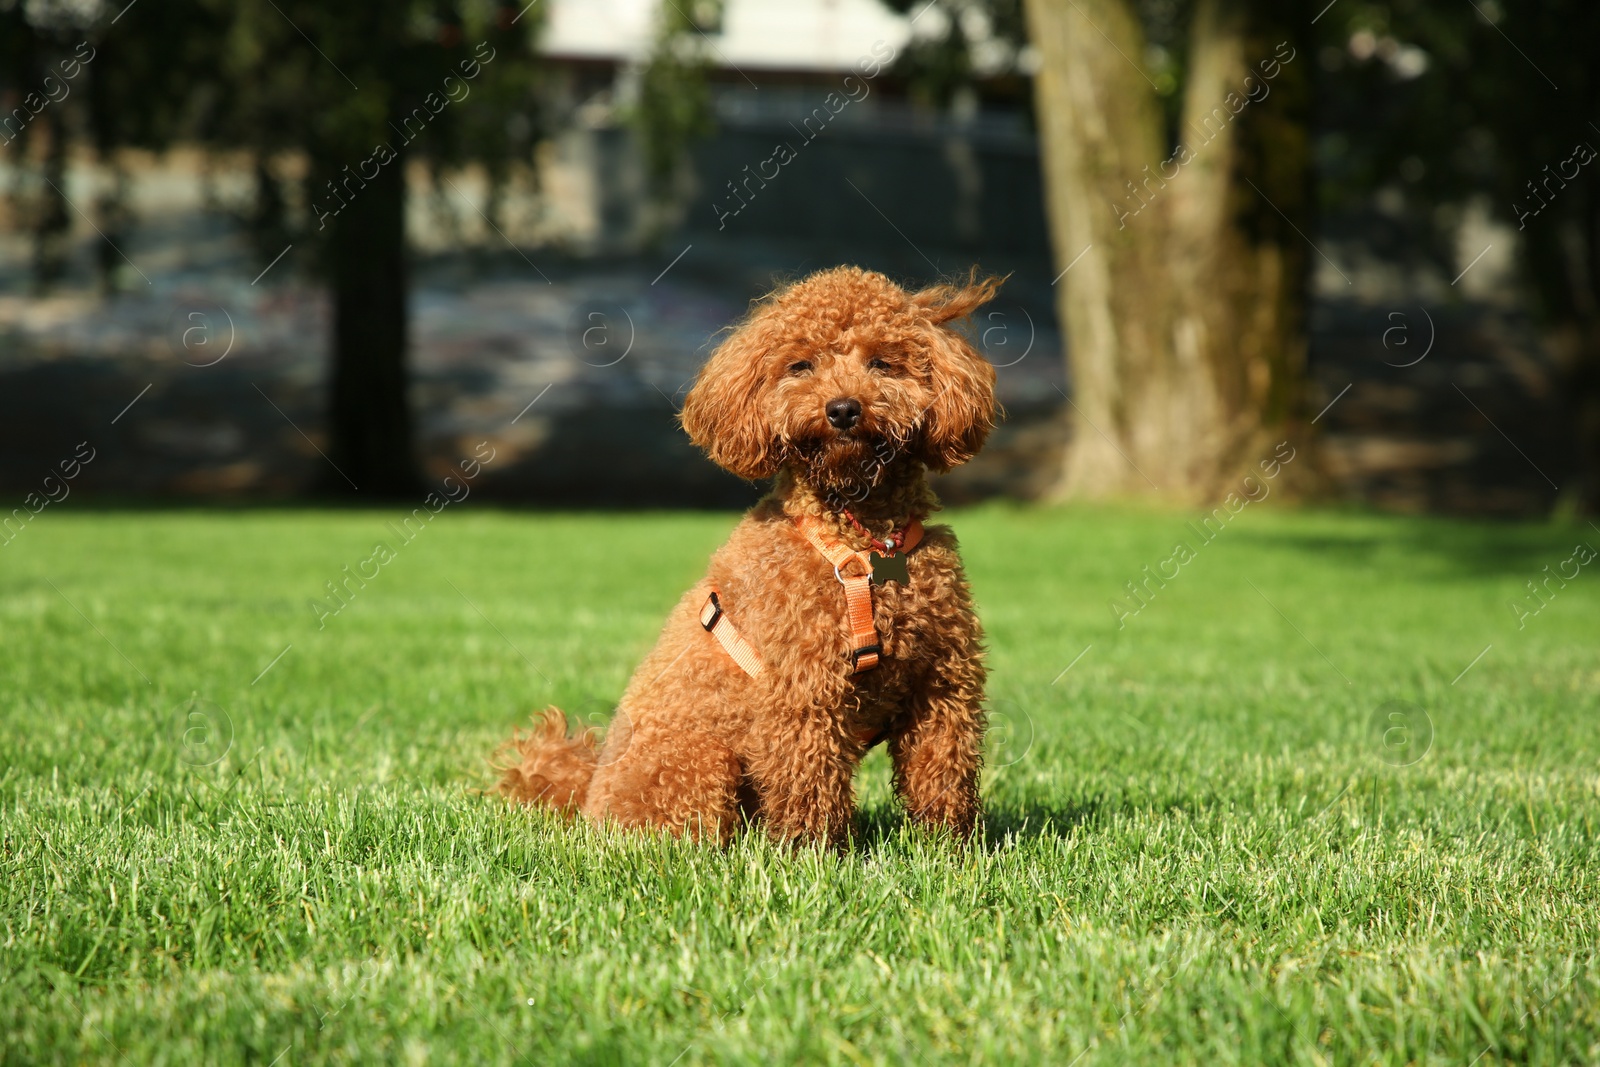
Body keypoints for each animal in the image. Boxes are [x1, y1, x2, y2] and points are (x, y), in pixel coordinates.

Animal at [492, 265, 1004, 844]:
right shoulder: (803, 691)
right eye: (801, 365)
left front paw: (949, 847)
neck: (864, 544)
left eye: (882, 362)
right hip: (700, 764)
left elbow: (942, 773)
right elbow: (809, 785)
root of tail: (588, 799)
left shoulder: (942, 684)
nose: (843, 409)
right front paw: (813, 853)